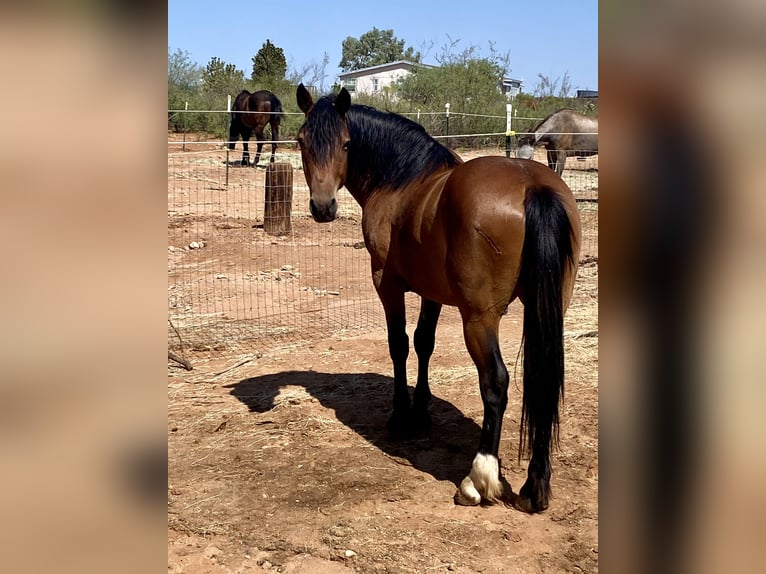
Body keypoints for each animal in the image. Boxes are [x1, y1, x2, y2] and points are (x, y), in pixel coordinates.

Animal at [294, 83, 584, 516]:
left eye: (346, 144)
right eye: (301, 141)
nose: (323, 207)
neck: (401, 179)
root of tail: (534, 184)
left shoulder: (386, 283)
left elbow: (399, 344)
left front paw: (401, 415)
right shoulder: (432, 292)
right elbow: (424, 343)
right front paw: (421, 408)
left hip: (479, 319)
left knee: (496, 381)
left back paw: (479, 480)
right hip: (547, 312)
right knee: (543, 382)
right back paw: (535, 486)